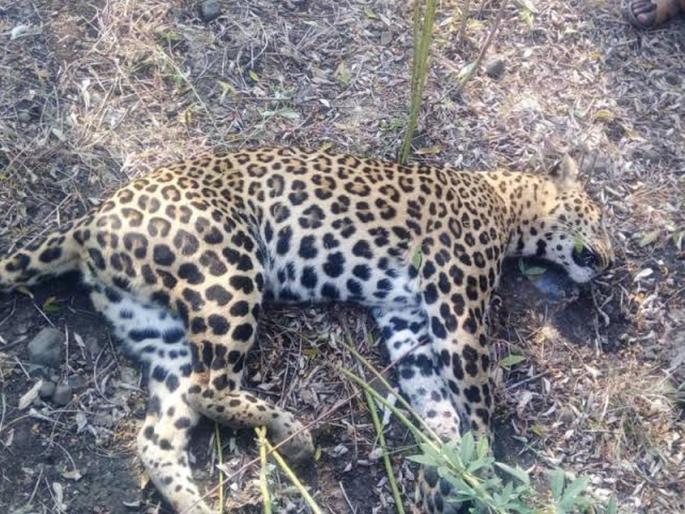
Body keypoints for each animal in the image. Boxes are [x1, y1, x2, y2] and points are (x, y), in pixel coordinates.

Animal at [0, 147, 613, 513]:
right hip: (228, 268)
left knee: (162, 432)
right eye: (596, 216)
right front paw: (479, 469)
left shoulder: (407, 319)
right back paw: (292, 434)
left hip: (161, 333)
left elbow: (437, 401)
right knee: (208, 385)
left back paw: (201, 501)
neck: (508, 204)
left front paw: (443, 467)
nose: (608, 260)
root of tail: (91, 220)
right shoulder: (455, 297)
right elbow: (478, 392)